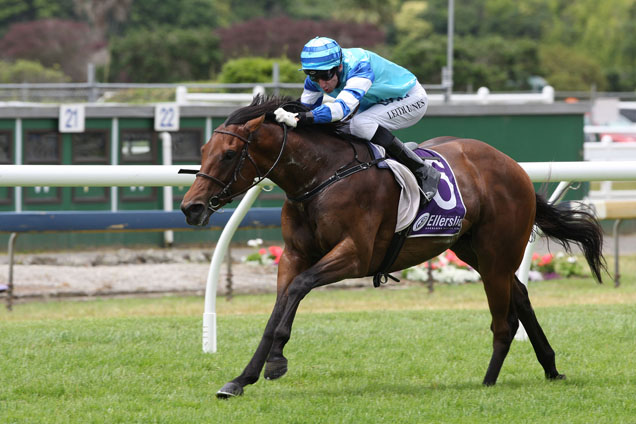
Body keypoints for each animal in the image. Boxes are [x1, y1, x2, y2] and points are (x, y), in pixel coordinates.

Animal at [180, 95, 608, 398]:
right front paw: (242, 378)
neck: (322, 176)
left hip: (495, 252)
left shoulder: (355, 255)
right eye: (202, 152)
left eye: (229, 154)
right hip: (474, 251)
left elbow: (298, 290)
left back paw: (488, 383)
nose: (191, 207)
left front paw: (276, 363)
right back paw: (551, 368)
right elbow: (278, 309)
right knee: (520, 296)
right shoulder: (293, 255)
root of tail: (514, 166)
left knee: (503, 322)